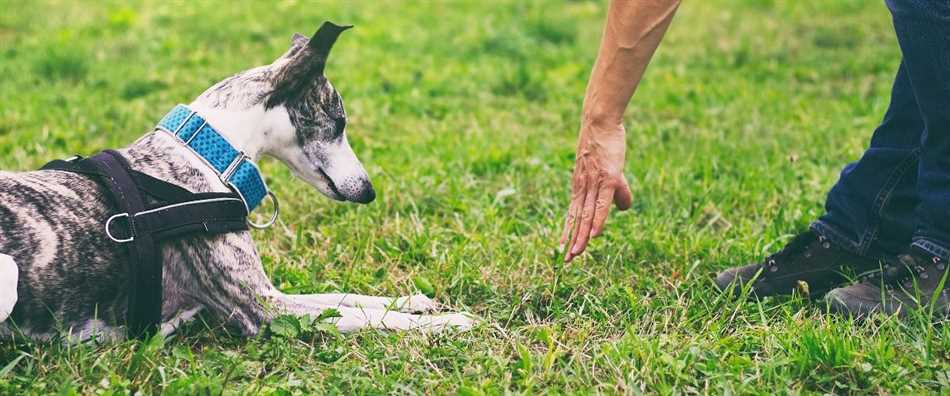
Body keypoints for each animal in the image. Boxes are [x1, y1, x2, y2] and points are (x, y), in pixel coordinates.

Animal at [0, 23, 474, 342]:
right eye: (339, 123)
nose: (369, 190)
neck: (206, 154)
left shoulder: (269, 292)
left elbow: (343, 296)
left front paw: (416, 301)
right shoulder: (262, 308)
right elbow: (368, 316)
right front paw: (449, 322)